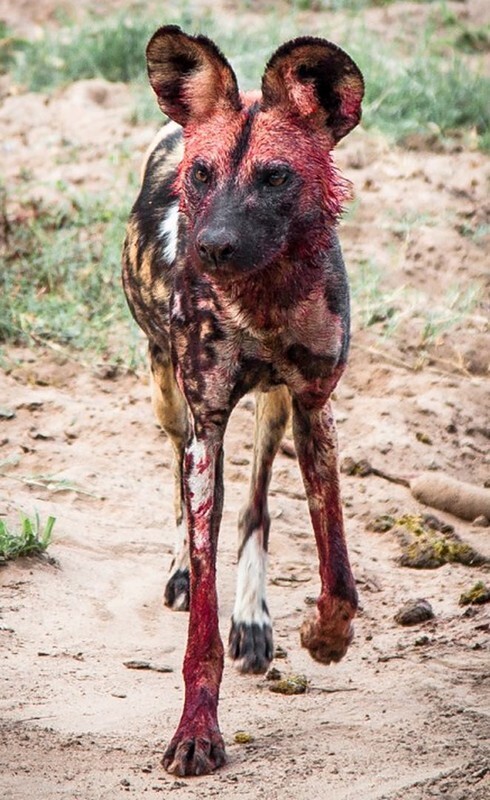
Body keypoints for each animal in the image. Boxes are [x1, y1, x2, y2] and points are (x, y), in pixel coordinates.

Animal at [122, 25, 364, 776]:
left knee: (255, 506)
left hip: (275, 410)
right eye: (201, 175)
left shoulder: (314, 406)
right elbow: (201, 629)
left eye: (275, 177)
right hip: (172, 403)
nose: (212, 247)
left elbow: (338, 573)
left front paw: (325, 635)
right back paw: (180, 570)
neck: (264, 300)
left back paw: (254, 618)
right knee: (181, 489)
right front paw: (197, 731)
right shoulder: (206, 427)